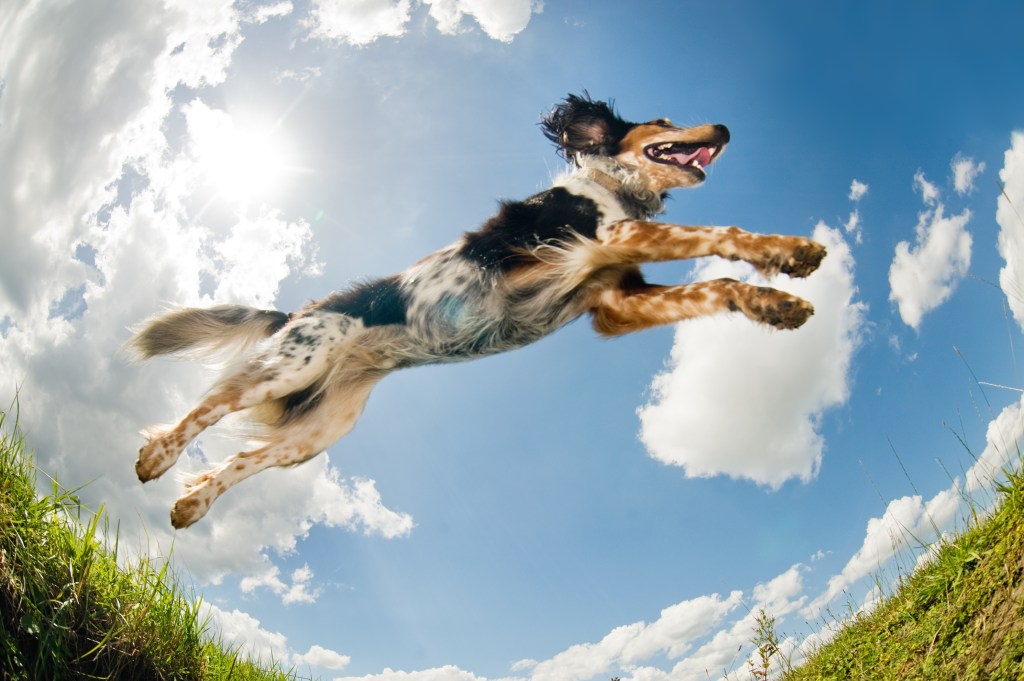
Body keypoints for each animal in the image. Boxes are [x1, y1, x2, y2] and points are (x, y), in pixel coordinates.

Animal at [132, 94, 827, 524]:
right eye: (661, 119)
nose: (725, 129)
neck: (614, 189)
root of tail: (295, 311)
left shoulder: (616, 301)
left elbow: (715, 286)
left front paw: (775, 302)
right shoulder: (606, 239)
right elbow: (718, 233)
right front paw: (789, 250)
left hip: (319, 431)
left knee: (240, 459)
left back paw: (191, 506)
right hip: (293, 366)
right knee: (207, 406)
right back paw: (155, 457)